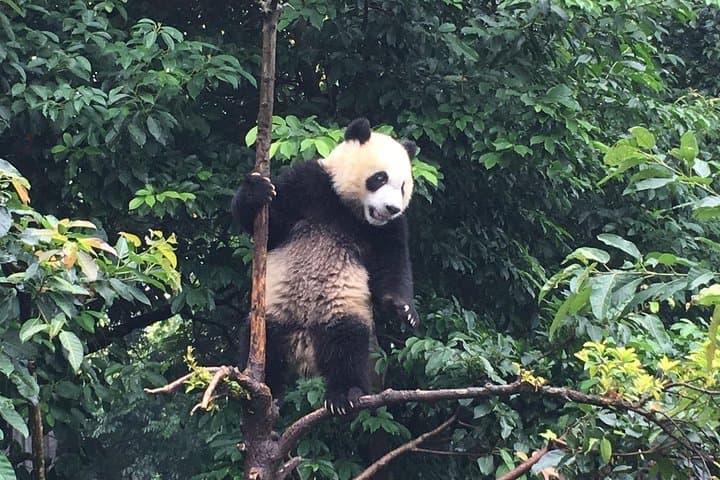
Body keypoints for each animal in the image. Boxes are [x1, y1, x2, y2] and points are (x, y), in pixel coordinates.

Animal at [232, 118, 418, 415]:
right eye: (380, 178)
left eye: (402, 186)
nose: (391, 208)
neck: (347, 207)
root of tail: (304, 346)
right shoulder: (309, 184)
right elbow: (265, 224)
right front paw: (257, 191)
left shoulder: (389, 229)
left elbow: (392, 265)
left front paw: (405, 310)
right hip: (275, 315)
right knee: (258, 336)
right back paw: (261, 391)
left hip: (340, 310)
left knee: (349, 345)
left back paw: (344, 394)